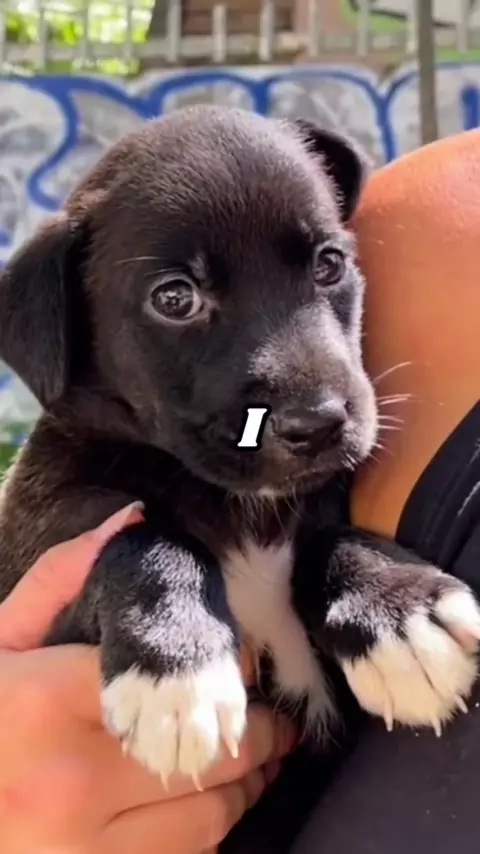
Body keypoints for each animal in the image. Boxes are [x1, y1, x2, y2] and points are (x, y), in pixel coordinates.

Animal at [0, 105, 478, 786]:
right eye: (175, 298)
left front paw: (399, 612)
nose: (318, 424)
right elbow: (136, 535)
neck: (242, 507)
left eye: (329, 264)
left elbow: (325, 536)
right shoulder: (42, 551)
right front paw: (176, 667)